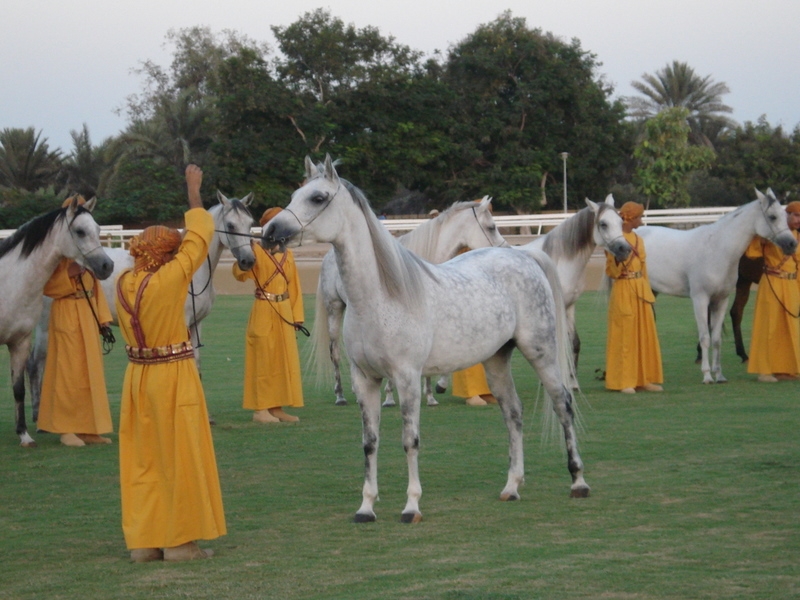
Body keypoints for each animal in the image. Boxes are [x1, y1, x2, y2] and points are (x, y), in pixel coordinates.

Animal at [0, 199, 114, 448]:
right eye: (80, 231)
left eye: (98, 229)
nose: (107, 266)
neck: (9, 282)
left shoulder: (20, 342)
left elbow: (18, 388)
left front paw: (24, 435)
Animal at [318, 195, 506, 406]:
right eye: (491, 227)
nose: (506, 249)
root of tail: (328, 256)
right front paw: (390, 397)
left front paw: (432, 394)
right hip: (334, 309)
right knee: (334, 352)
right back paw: (340, 395)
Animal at [524, 197, 632, 376]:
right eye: (603, 224)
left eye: (620, 221)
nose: (625, 249)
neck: (558, 262)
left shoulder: (569, 306)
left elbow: (574, 343)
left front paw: (572, 377)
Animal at [636, 189, 792, 384]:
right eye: (772, 217)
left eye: (785, 215)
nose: (792, 244)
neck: (716, 249)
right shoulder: (700, 299)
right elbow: (705, 337)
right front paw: (707, 376)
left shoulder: (721, 300)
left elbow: (716, 339)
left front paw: (719, 375)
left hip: (652, 290)